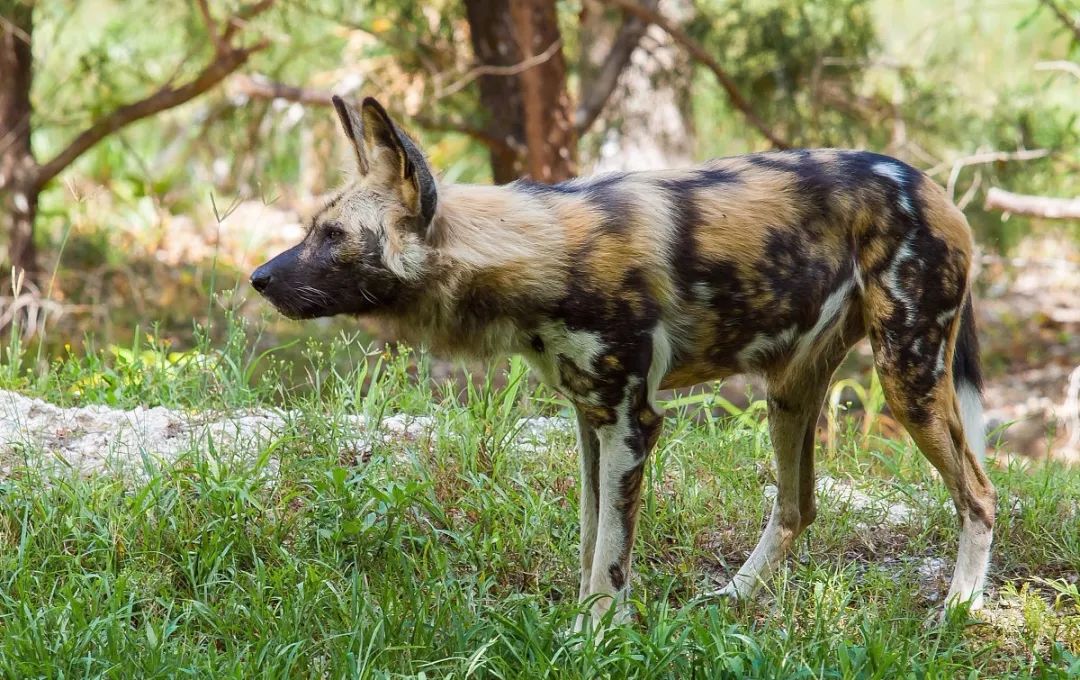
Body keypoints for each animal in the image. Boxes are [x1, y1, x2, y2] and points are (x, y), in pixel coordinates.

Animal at [250, 96, 993, 630]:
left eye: (332, 236)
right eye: (312, 229)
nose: (257, 278)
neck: (533, 254)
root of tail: (931, 187)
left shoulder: (633, 422)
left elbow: (609, 554)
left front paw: (594, 636)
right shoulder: (591, 417)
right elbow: (589, 539)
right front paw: (579, 624)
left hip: (908, 379)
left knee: (979, 496)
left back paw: (959, 610)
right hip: (788, 392)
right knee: (796, 507)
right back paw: (730, 597)